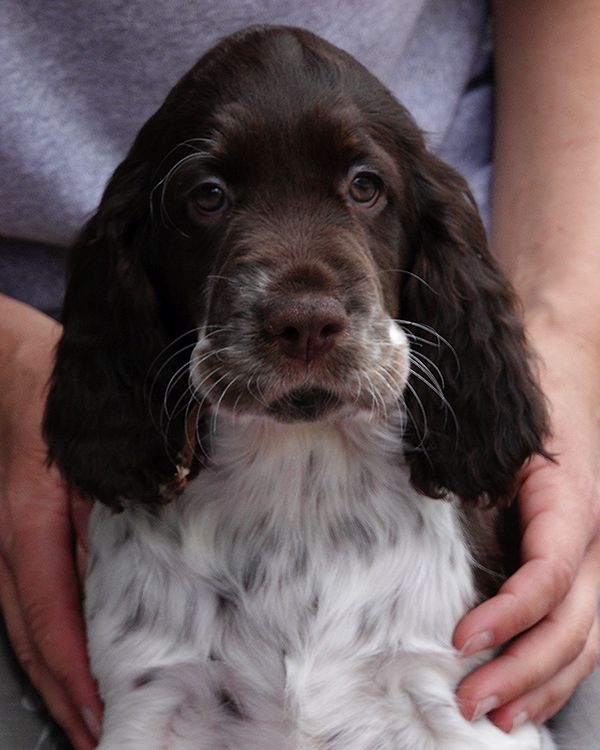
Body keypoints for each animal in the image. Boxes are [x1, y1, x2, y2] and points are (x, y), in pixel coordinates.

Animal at [44, 23, 556, 750]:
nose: (306, 323)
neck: (298, 479)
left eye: (366, 186)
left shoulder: (461, 698)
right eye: (208, 196)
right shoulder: (152, 697)